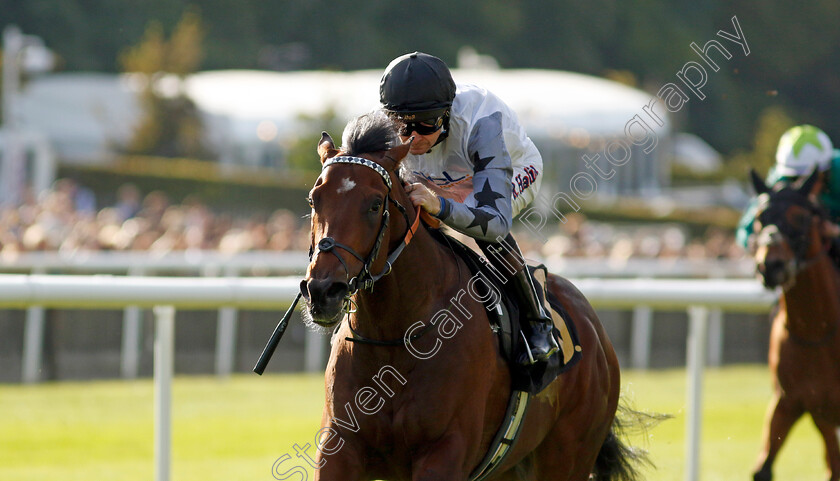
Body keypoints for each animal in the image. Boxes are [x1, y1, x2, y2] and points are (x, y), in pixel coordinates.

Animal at [296, 110, 644, 478]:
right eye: (314, 199)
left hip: (568, 455)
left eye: (375, 204)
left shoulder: (444, 451)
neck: (395, 337)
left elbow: (491, 221)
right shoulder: (339, 447)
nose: (323, 291)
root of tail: (596, 330)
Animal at [748, 167, 840, 478]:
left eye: (800, 216)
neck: (816, 330)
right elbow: (763, 468)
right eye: (759, 217)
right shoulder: (790, 402)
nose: (771, 265)